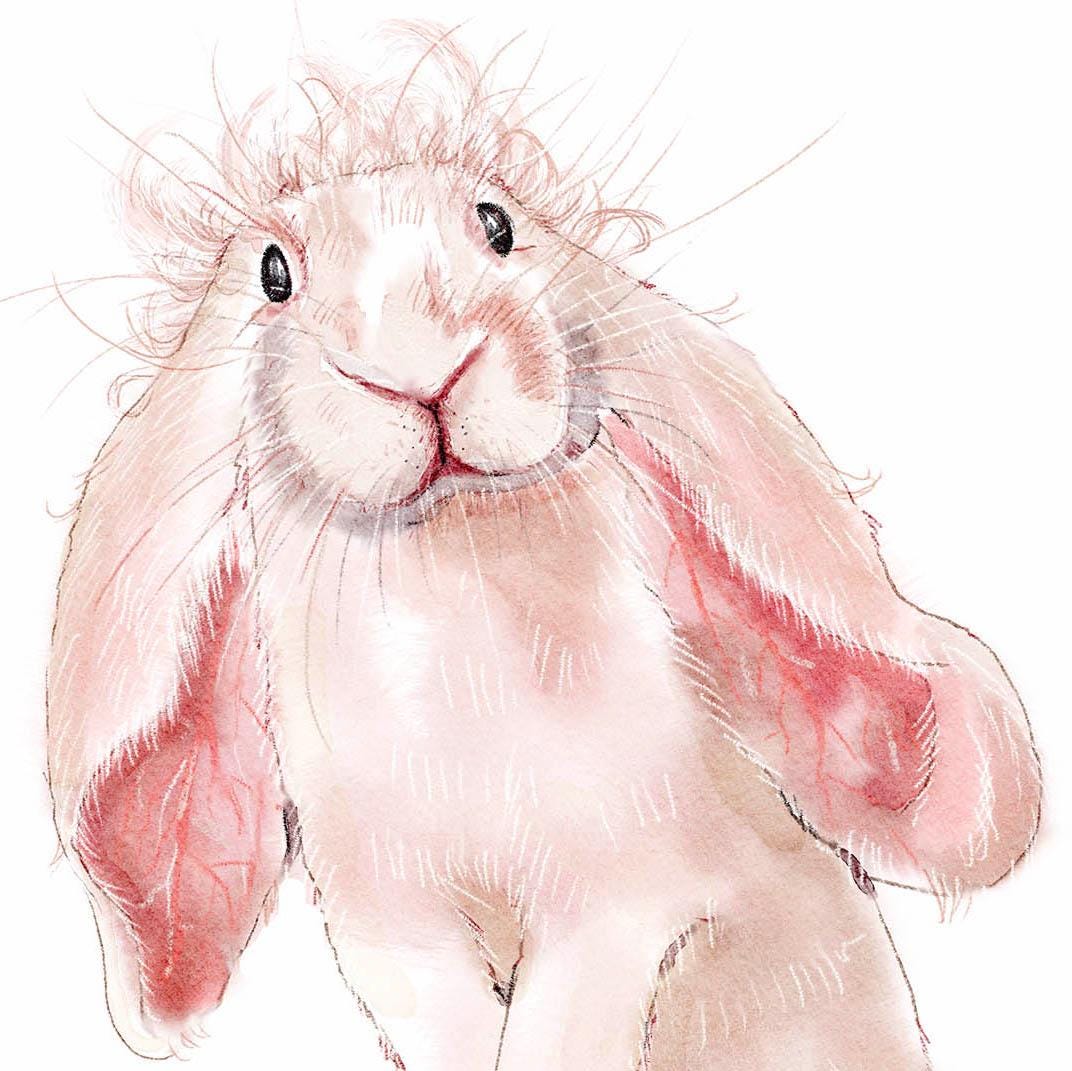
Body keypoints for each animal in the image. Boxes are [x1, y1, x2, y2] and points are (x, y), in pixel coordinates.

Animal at [46, 22, 1040, 1070]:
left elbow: (561, 1025)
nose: (425, 368)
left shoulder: (622, 902)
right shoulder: (395, 934)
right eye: (273, 274)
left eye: (498, 224)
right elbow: (445, 1022)